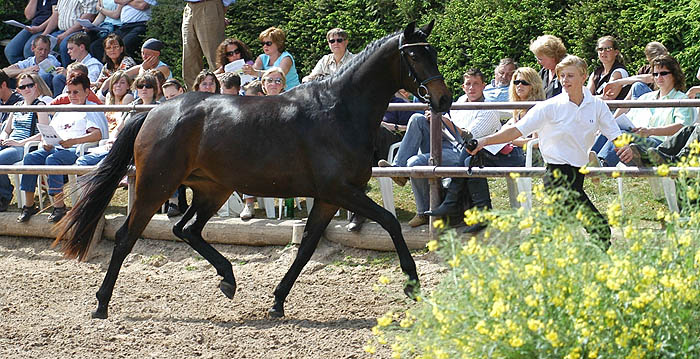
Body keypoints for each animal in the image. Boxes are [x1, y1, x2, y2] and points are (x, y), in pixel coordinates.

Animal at [53, 21, 448, 320]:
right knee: (127, 237)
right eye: (415, 54)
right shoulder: (340, 191)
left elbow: (307, 247)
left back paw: (228, 279)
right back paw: (102, 304)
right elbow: (390, 222)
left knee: (186, 229)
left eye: (433, 51)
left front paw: (277, 302)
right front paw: (412, 284)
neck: (339, 111)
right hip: (156, 185)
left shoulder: (328, 198)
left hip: (212, 190)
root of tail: (154, 112)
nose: (443, 99)